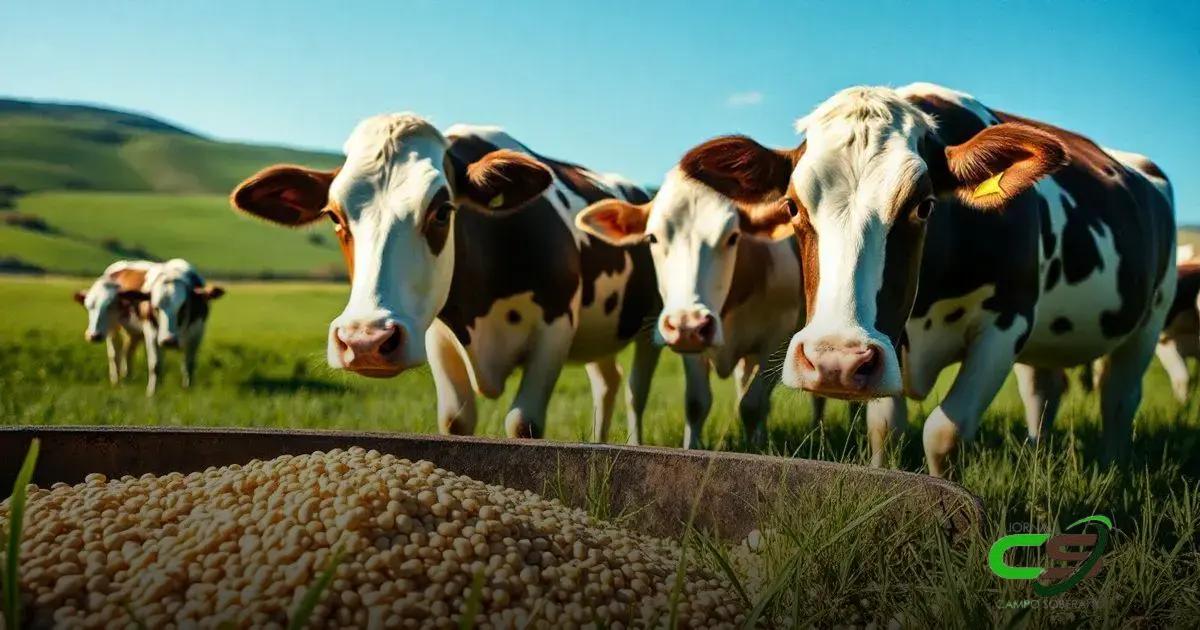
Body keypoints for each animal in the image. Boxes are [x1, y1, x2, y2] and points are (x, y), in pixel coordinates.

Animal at [230, 114, 661, 442]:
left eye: (441, 210)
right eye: (335, 216)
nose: (365, 341)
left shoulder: (555, 329)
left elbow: (523, 422)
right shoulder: (437, 336)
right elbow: (456, 420)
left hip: (652, 323)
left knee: (636, 392)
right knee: (607, 383)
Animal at [575, 148, 828, 449]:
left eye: (733, 236)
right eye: (652, 238)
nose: (688, 324)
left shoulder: (779, 337)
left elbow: (753, 405)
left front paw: (754, 449)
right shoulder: (691, 347)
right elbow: (697, 403)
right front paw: (692, 448)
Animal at [655, 83, 1175, 476]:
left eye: (923, 206)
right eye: (791, 206)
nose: (835, 361)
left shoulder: (1006, 323)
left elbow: (943, 432)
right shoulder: (893, 349)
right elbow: (885, 429)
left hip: (1150, 320)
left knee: (1118, 398)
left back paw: (1113, 470)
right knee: (1042, 392)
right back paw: (1038, 453)